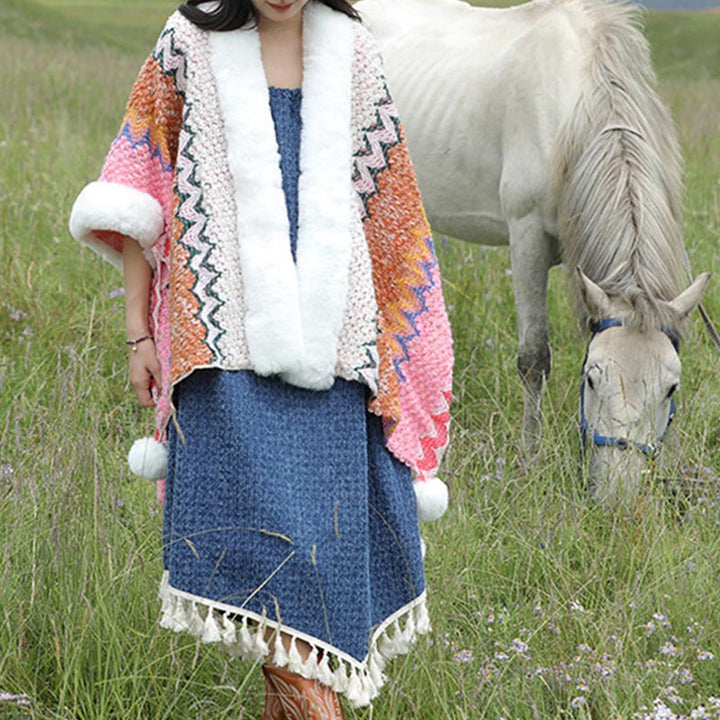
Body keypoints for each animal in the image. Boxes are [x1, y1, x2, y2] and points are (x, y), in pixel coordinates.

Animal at [356, 0, 708, 506]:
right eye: (593, 379)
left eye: (670, 387)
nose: (616, 501)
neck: (578, 106)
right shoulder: (527, 239)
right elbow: (534, 358)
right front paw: (529, 459)